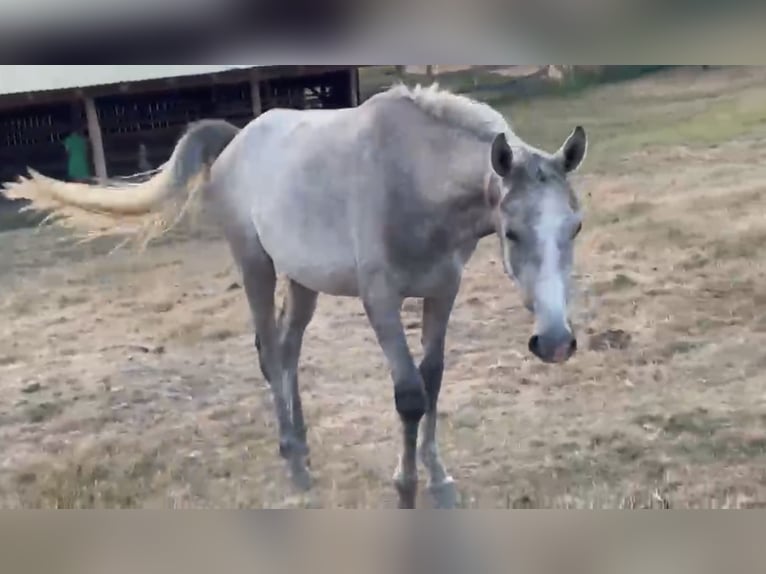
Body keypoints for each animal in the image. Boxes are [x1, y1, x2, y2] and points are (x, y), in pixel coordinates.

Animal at [3, 83, 588, 509]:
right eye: (512, 232)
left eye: (576, 227)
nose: (556, 343)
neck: (412, 179)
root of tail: (235, 140)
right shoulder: (380, 299)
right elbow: (409, 395)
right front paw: (405, 488)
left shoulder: (442, 292)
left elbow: (434, 381)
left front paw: (439, 480)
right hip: (255, 266)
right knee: (268, 351)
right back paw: (291, 459)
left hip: (303, 280)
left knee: (287, 350)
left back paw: (304, 450)